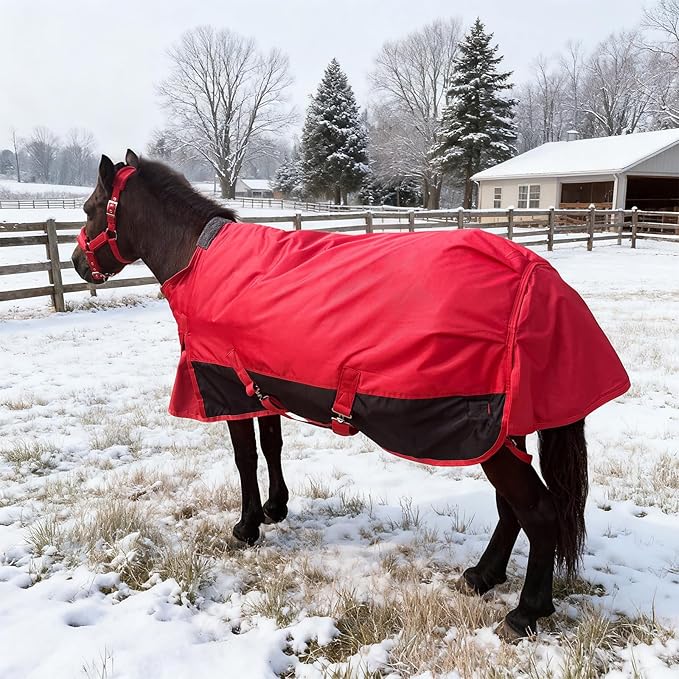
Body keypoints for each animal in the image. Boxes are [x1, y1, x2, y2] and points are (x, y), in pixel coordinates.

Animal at [72, 150, 629, 640]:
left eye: (90, 208)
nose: (77, 262)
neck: (200, 256)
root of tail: (543, 284)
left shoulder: (227, 385)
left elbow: (244, 457)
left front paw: (247, 526)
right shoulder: (263, 383)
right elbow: (271, 446)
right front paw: (276, 509)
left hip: (486, 434)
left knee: (538, 512)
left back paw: (526, 611)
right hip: (502, 435)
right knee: (513, 509)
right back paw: (482, 576)